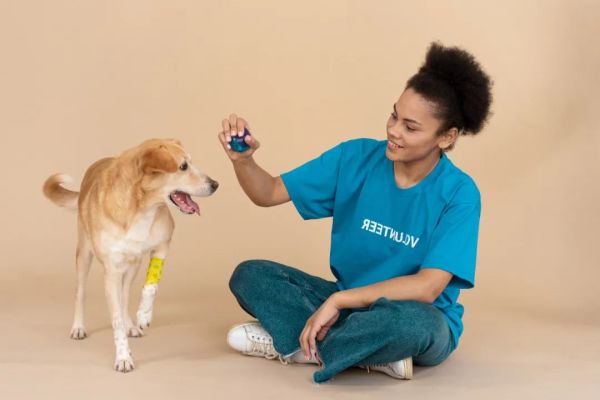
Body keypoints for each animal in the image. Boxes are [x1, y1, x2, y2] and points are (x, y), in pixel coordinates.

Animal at [43, 138, 218, 372]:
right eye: (183, 166)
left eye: (190, 162)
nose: (215, 184)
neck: (140, 208)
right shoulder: (111, 272)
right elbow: (115, 319)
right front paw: (123, 356)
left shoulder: (163, 244)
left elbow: (150, 287)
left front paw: (143, 315)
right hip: (84, 255)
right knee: (81, 293)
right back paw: (78, 326)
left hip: (133, 264)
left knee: (125, 295)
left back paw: (130, 323)